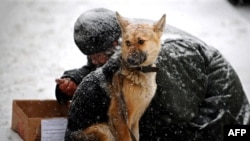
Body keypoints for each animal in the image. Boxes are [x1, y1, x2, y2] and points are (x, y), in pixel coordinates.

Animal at [73, 12, 166, 141]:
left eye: (141, 41)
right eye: (127, 43)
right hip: (103, 129)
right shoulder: (119, 118)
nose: (130, 60)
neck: (138, 71)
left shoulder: (135, 121)